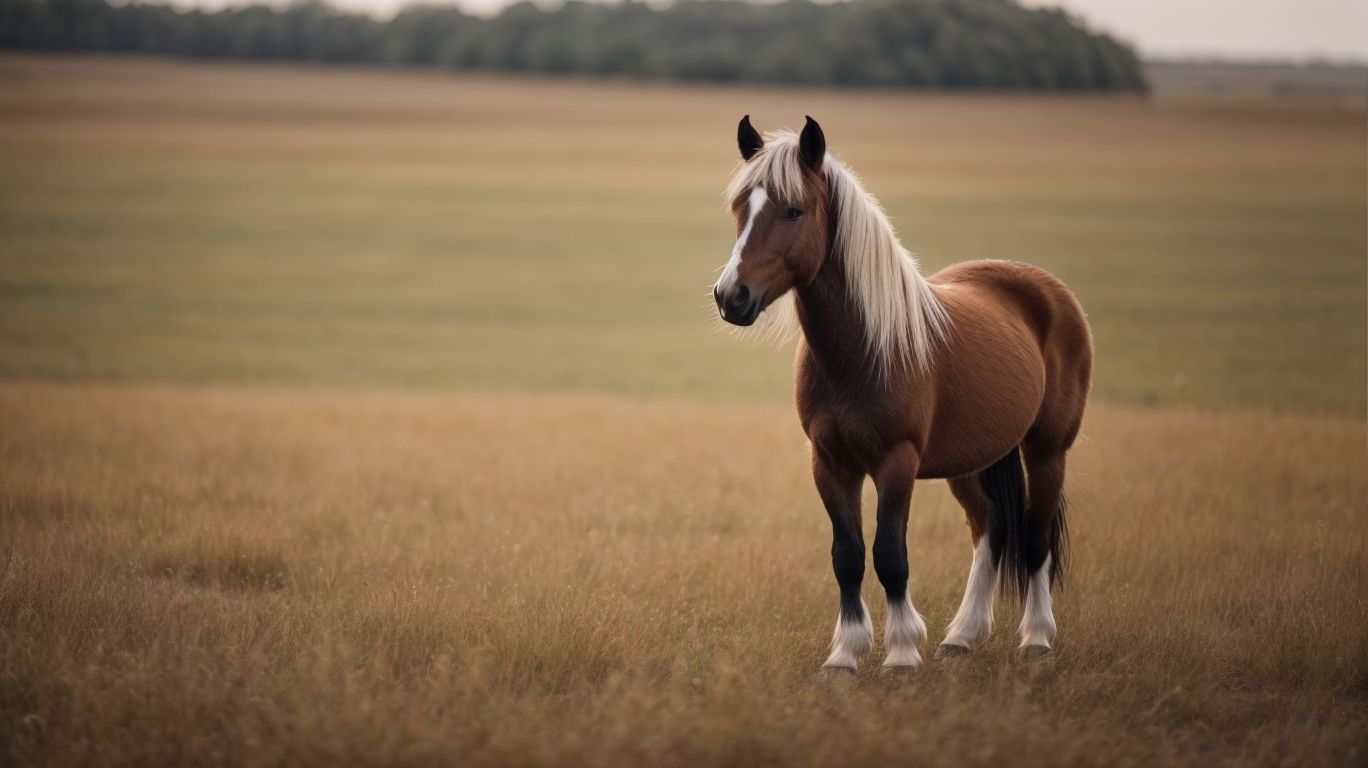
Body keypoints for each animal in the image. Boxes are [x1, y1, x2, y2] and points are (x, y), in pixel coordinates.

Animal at [711, 116, 1092, 672]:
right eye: (742, 206)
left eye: (793, 209)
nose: (730, 297)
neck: (863, 351)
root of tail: (1046, 288)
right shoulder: (829, 462)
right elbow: (847, 556)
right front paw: (845, 654)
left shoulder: (897, 462)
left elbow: (890, 554)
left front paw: (901, 653)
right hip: (971, 463)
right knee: (991, 529)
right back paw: (961, 637)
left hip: (1047, 451)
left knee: (1036, 539)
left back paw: (1036, 640)